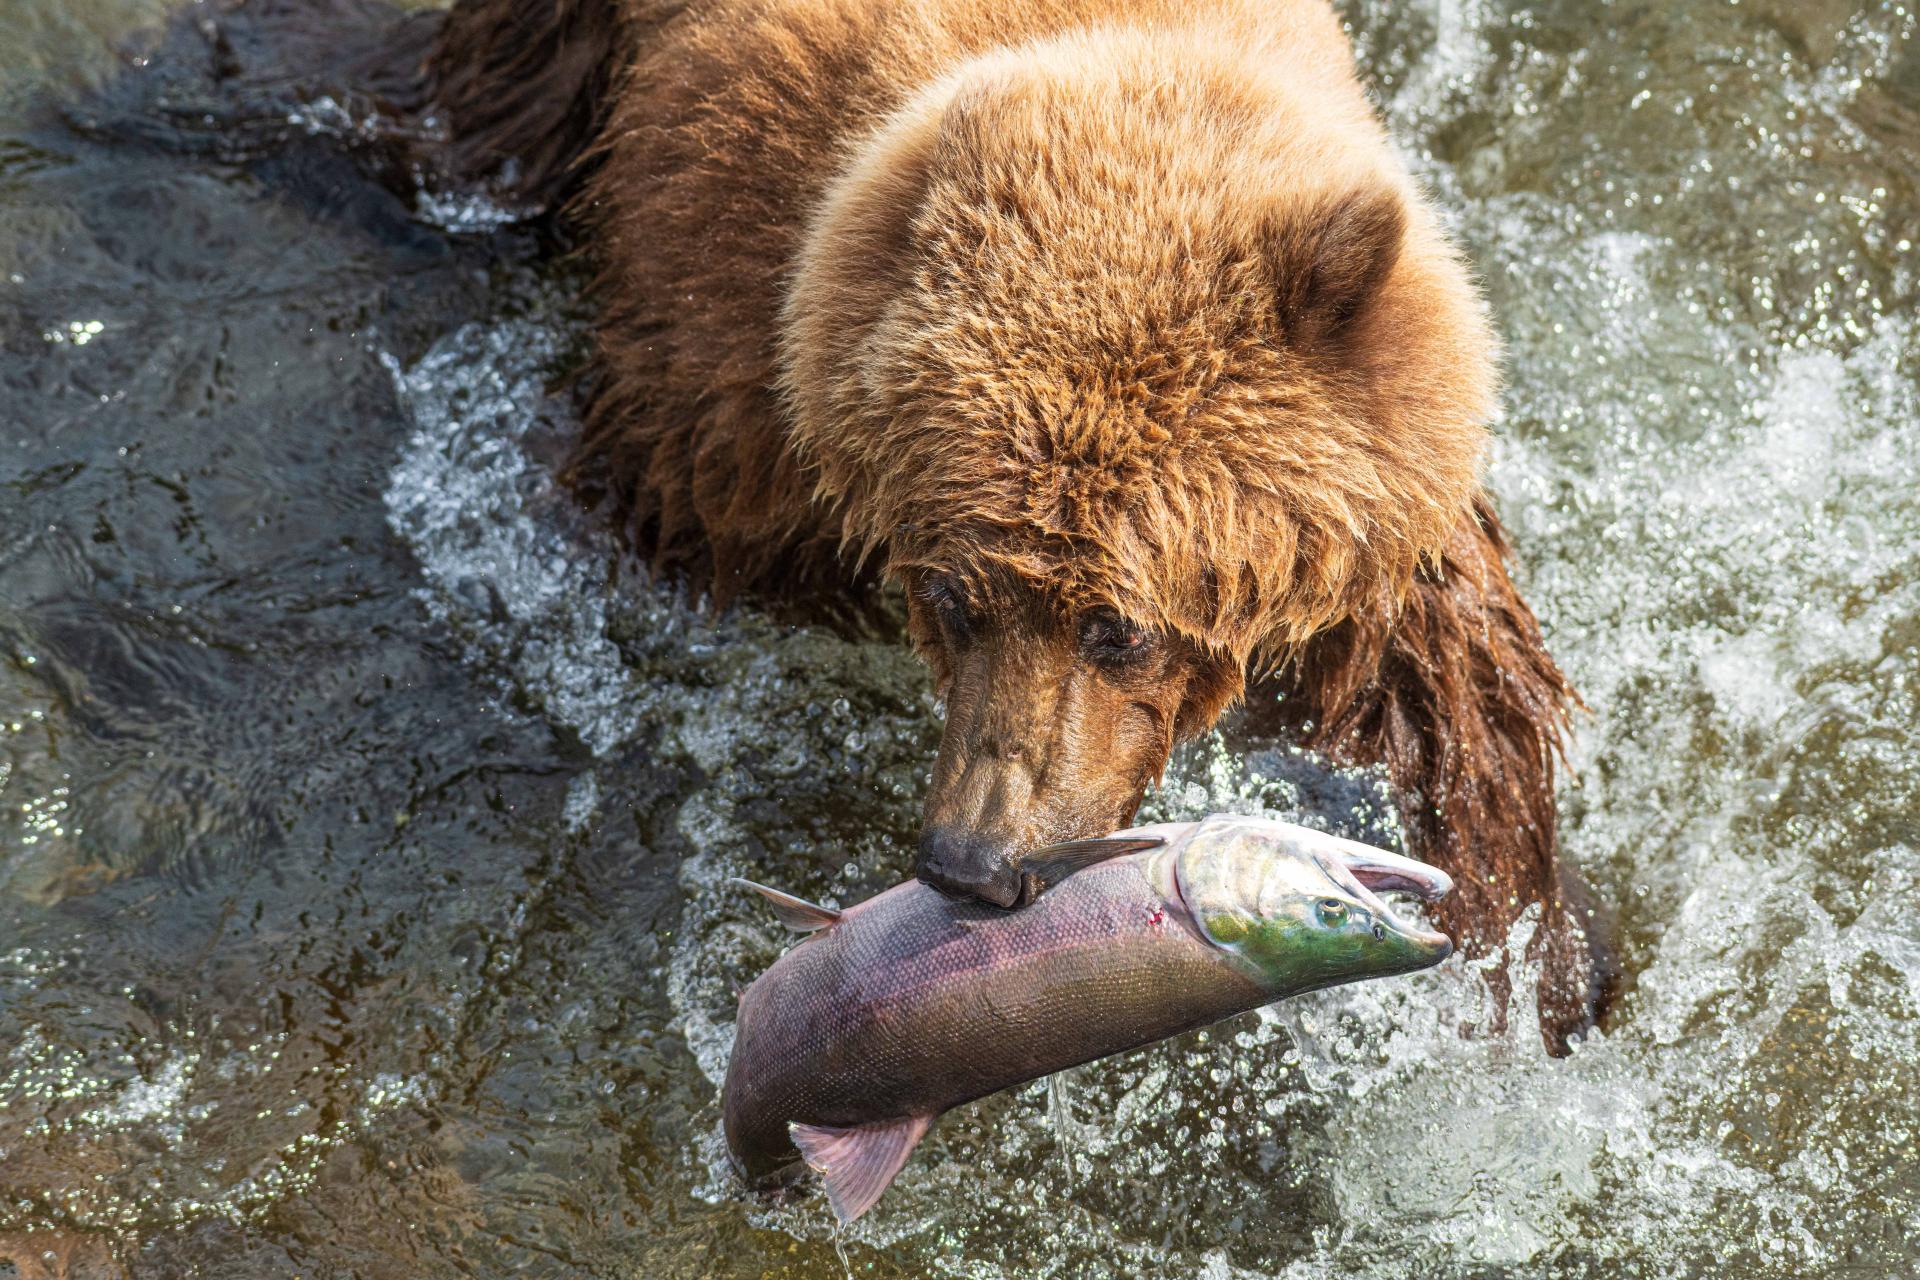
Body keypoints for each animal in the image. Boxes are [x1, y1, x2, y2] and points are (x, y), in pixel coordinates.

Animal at [411, 0, 1614, 1051]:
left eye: (1118, 624)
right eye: (953, 593)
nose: (971, 861)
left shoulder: (1375, 544)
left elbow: (1460, 737)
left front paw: (1531, 962)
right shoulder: (720, 401)